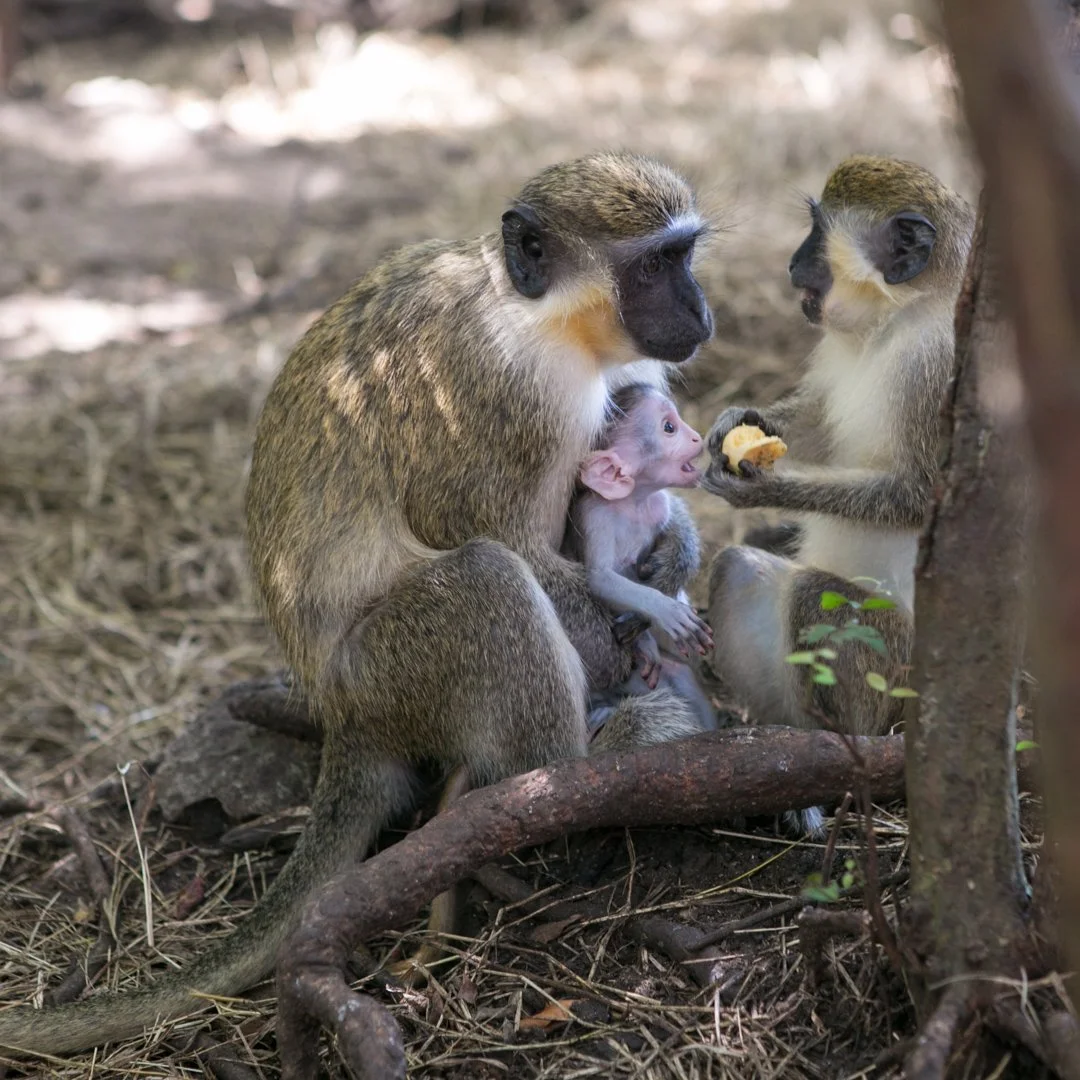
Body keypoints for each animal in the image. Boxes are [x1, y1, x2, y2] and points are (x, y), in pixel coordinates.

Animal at [562, 381, 717, 733]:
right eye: (669, 427)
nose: (696, 437)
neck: (633, 501)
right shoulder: (597, 515)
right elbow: (600, 579)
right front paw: (663, 611)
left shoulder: (658, 505)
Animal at [701, 156, 974, 832]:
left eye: (819, 236)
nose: (791, 265)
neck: (895, 320)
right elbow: (819, 424)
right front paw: (742, 421)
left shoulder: (937, 366)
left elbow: (918, 495)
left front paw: (765, 486)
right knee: (736, 568)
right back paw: (786, 757)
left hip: (894, 667)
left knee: (816, 597)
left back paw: (842, 766)